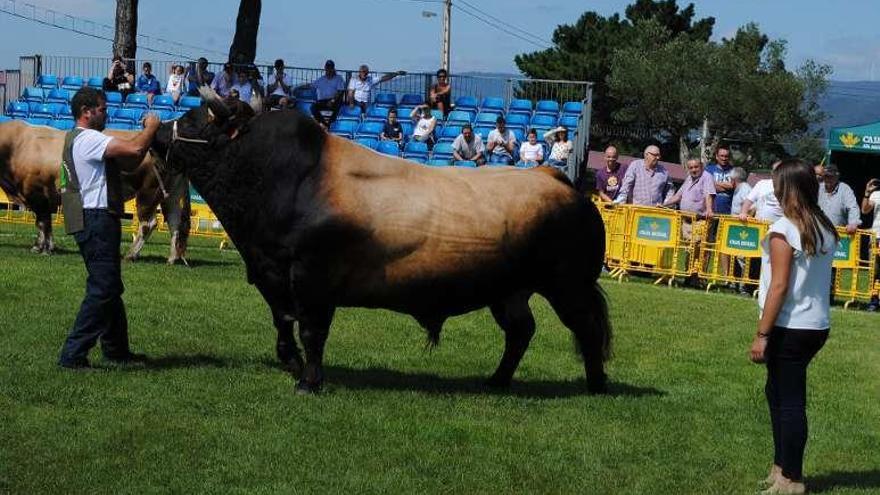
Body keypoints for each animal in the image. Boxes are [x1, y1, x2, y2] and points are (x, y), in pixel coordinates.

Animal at [0, 121, 189, 264]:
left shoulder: (38, 194)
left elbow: (42, 223)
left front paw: (45, 249)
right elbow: (42, 223)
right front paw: (40, 246)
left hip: (148, 192)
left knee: (148, 223)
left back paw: (131, 254)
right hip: (170, 195)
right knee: (174, 222)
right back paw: (172, 258)